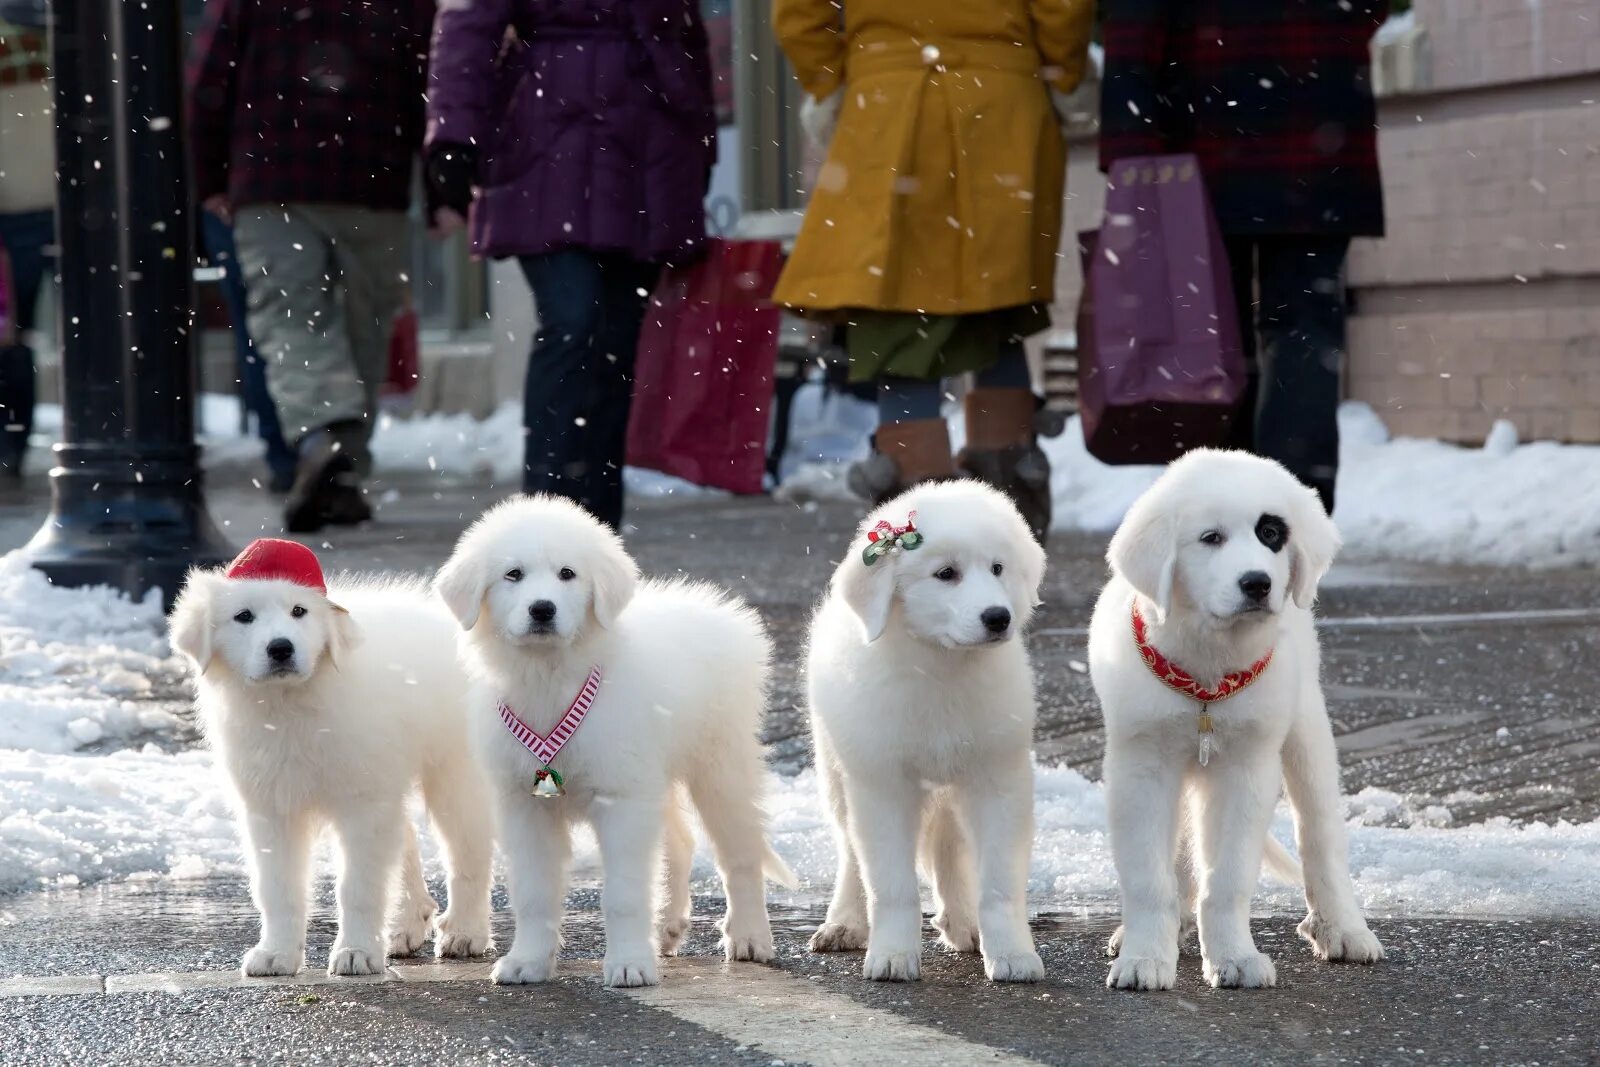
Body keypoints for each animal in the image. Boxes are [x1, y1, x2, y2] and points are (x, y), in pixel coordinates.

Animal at [168, 537, 492, 979]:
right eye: (244, 616)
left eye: (299, 611)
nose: (280, 648)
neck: (287, 707)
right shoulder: (271, 809)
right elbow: (278, 888)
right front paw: (277, 953)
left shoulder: (362, 804)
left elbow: (358, 885)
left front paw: (356, 953)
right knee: (406, 842)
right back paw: (405, 926)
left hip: (454, 775)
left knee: (468, 854)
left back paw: (464, 932)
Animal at [435, 495, 796, 991]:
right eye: (513, 574)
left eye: (568, 573)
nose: (542, 609)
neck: (551, 678)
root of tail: (718, 609)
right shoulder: (525, 804)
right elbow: (533, 892)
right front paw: (528, 962)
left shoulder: (622, 798)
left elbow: (624, 892)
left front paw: (629, 965)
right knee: (678, 844)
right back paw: (666, 928)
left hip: (722, 766)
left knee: (739, 855)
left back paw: (749, 937)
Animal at [806, 483, 1043, 985]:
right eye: (945, 574)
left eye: (998, 568)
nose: (998, 617)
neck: (940, 668)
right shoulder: (883, 784)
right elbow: (891, 884)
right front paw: (893, 956)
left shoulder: (998, 779)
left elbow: (999, 884)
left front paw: (1012, 955)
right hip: (836, 771)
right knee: (851, 854)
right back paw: (844, 923)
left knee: (948, 848)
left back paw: (964, 924)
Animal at [1094, 451, 1382, 991]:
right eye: (1211, 538)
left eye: (1271, 533)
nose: (1257, 583)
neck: (1206, 679)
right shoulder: (1140, 766)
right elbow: (1147, 875)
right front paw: (1146, 957)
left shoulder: (1246, 768)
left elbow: (1227, 877)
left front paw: (1234, 957)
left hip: (1306, 732)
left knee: (1321, 833)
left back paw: (1344, 927)